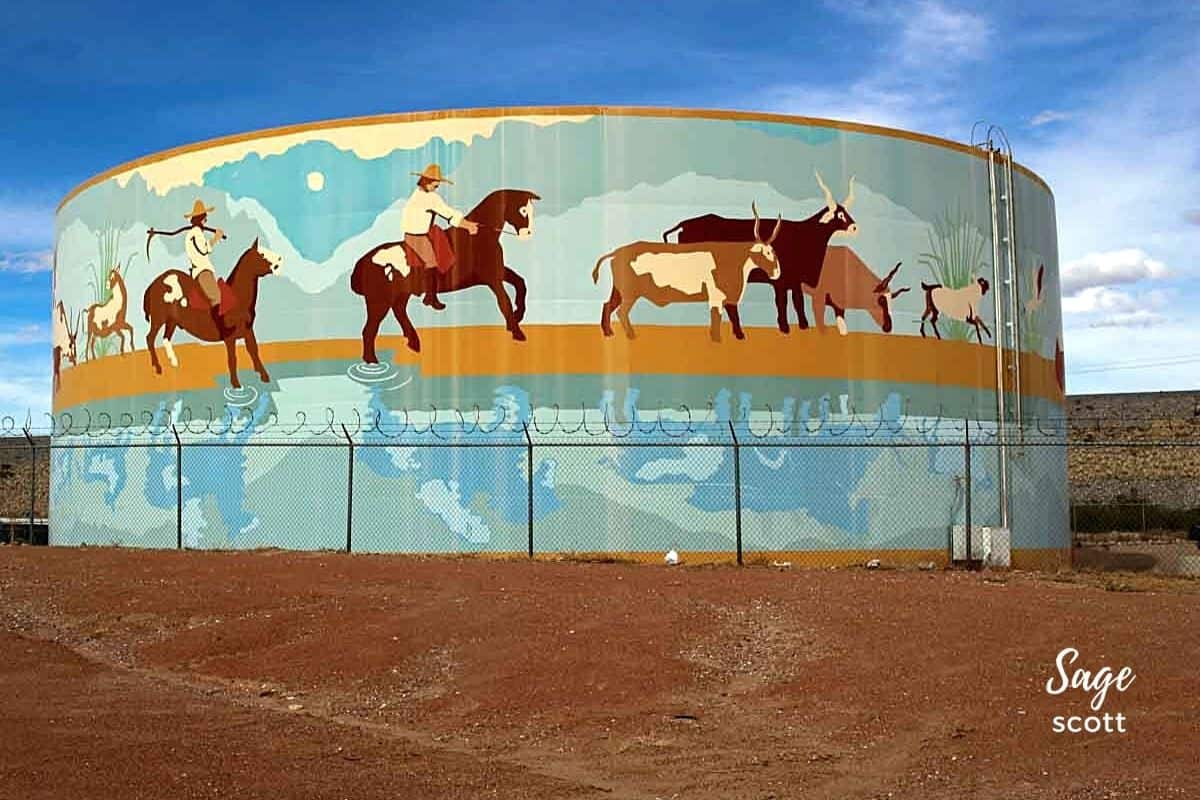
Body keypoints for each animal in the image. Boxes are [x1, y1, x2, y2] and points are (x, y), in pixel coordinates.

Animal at [142, 236, 283, 388]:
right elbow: (232, 358)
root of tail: (155, 283)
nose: (280, 260)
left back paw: (173, 362)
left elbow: (254, 351)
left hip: (171, 321)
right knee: (150, 338)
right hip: (158, 318)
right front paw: (236, 384)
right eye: (261, 254)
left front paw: (263, 375)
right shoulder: (229, 337)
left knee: (166, 339)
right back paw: (158, 367)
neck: (237, 298)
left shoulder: (248, 331)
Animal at [345, 185, 537, 362]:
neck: (477, 237)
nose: (527, 234)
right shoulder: (492, 278)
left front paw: (518, 316)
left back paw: (413, 342)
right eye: (522, 210)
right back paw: (372, 360)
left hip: (399, 295)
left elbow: (520, 283)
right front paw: (517, 332)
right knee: (369, 329)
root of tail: (363, 262)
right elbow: (504, 301)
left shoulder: (497, 273)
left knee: (399, 312)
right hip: (378, 302)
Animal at [592, 203, 782, 340]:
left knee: (607, 305)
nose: (776, 273)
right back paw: (631, 335)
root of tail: (617, 252)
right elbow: (718, 319)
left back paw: (608, 333)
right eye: (766, 252)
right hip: (630, 294)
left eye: (773, 251)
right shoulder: (716, 295)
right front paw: (719, 340)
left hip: (619, 291)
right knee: (620, 312)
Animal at [662, 169, 859, 331]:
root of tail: (684, 224)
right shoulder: (780, 282)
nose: (855, 227)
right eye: (840, 214)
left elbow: (798, 303)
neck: (805, 234)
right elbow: (782, 303)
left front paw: (804, 326)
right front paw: (785, 328)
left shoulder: (794, 281)